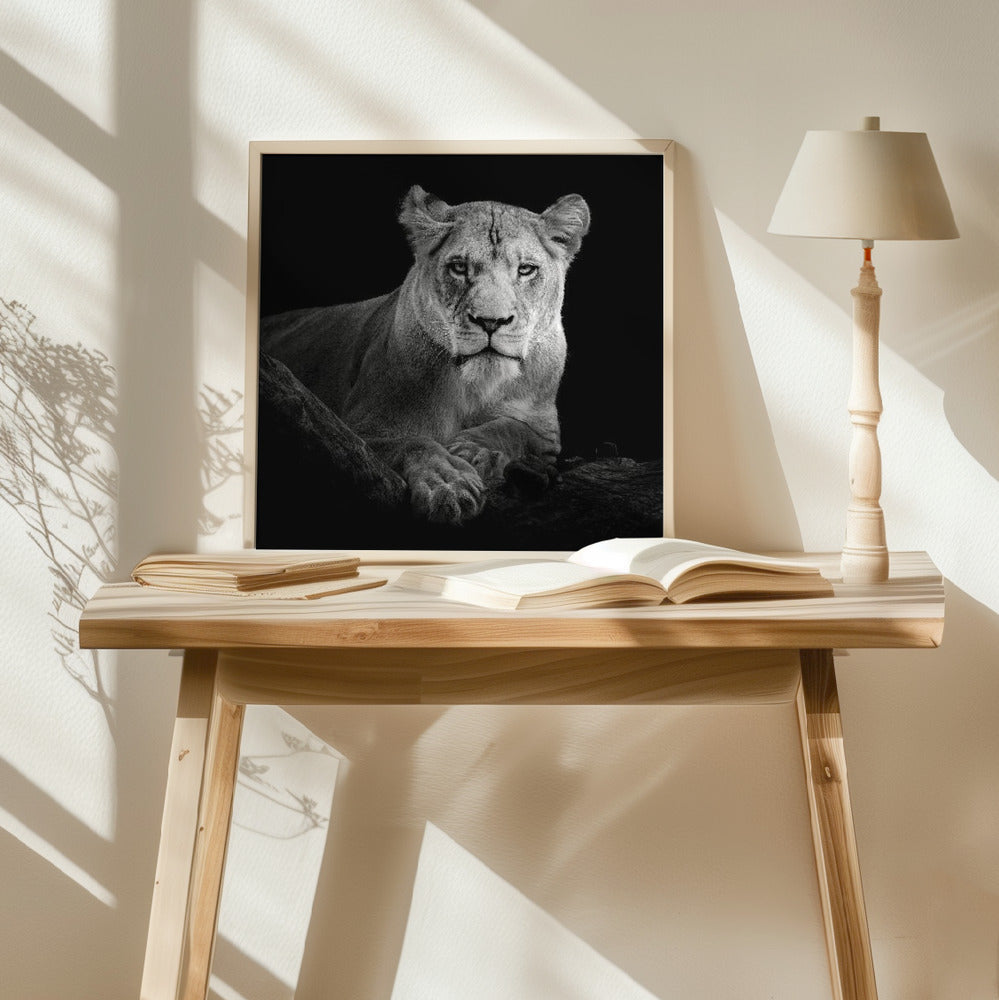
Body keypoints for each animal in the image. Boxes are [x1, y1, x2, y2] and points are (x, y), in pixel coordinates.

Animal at [261, 184, 591, 524]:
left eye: (526, 270)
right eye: (459, 267)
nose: (491, 321)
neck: (475, 386)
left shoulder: (545, 430)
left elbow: (513, 429)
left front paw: (475, 451)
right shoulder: (357, 430)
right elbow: (414, 442)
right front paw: (448, 484)